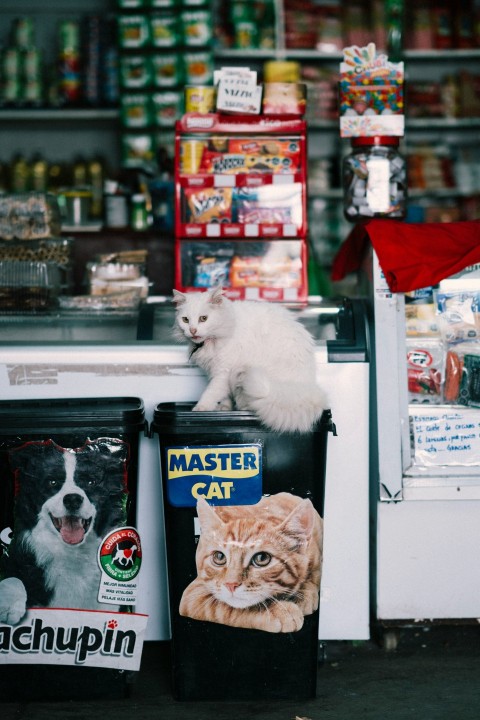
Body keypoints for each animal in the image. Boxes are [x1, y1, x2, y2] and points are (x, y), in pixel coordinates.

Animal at [172, 286, 326, 434]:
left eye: (203, 318)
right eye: (185, 320)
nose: (192, 330)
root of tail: (305, 392)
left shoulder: (223, 373)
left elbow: (210, 393)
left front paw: (200, 408)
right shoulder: (215, 373)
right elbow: (224, 396)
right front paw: (224, 408)